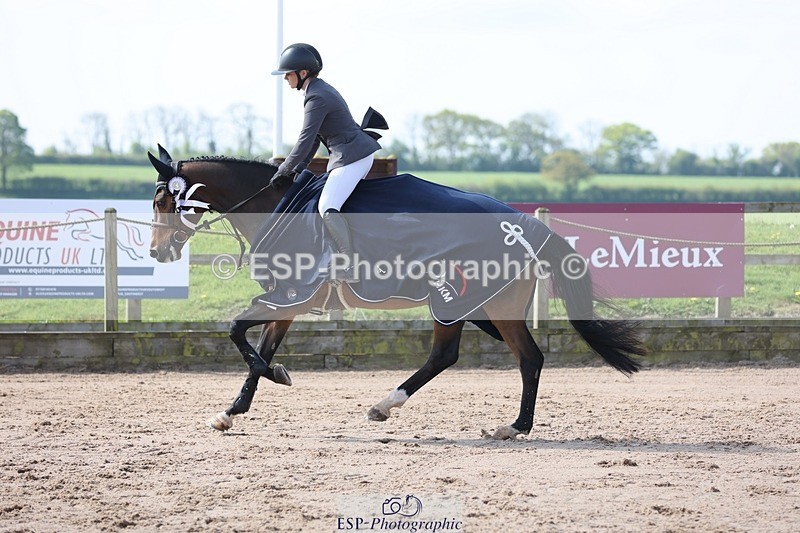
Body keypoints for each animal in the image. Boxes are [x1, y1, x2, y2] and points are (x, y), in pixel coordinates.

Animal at [147, 145, 646, 440]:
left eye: (160, 201)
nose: (157, 251)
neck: (278, 206)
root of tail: (526, 224)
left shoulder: (293, 294)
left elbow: (236, 331)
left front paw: (276, 377)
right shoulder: (285, 301)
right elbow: (259, 348)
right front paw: (233, 410)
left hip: (456, 302)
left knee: (469, 356)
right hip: (484, 307)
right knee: (522, 357)